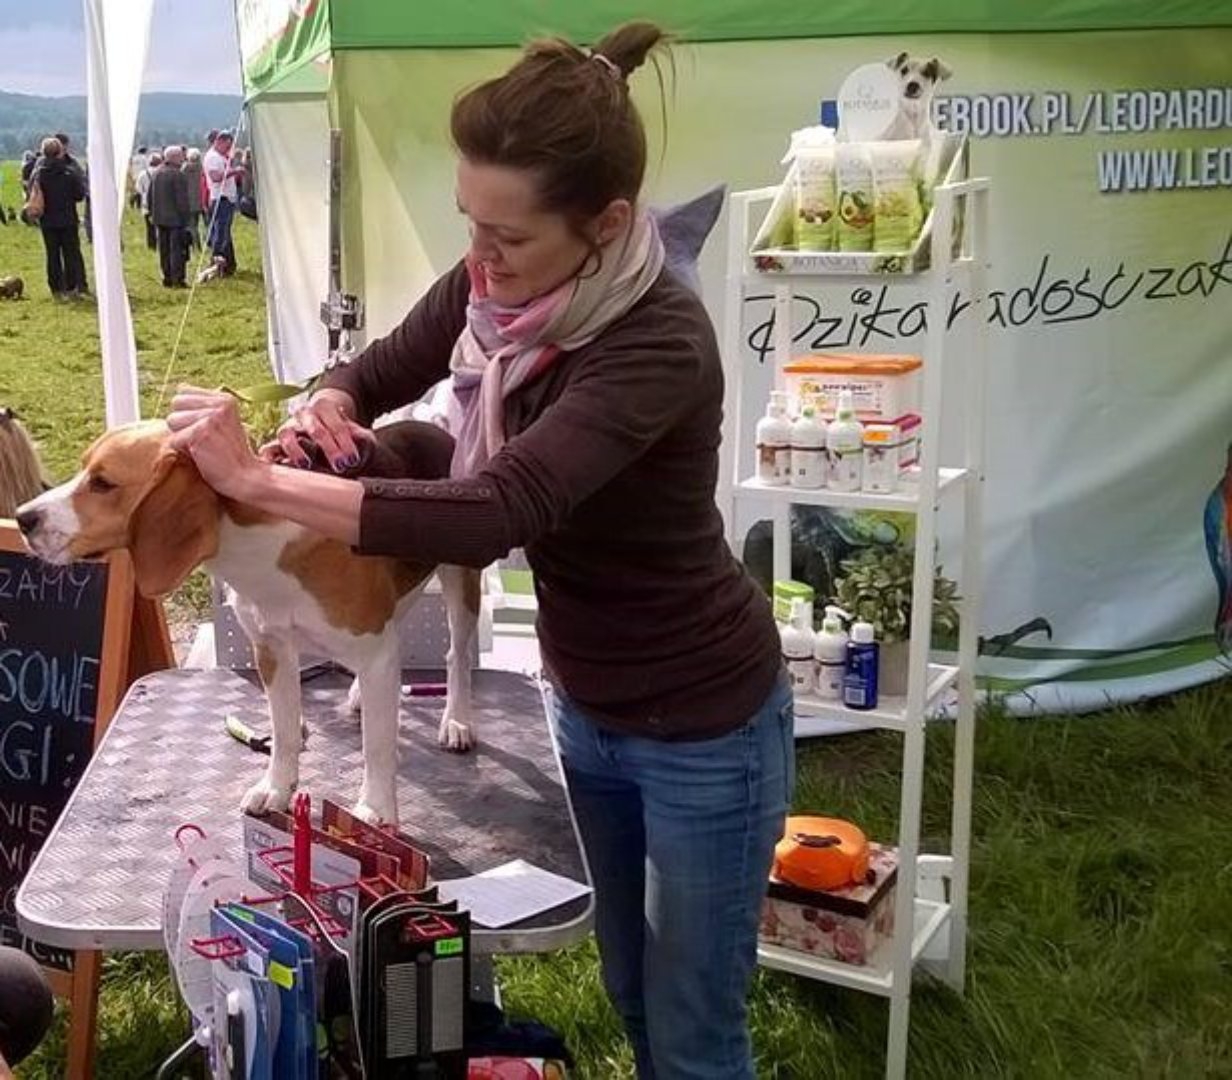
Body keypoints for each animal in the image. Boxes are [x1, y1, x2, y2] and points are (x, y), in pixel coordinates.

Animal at [15, 420, 480, 827]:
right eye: (82, 468)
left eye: (103, 483)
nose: (21, 517)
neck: (254, 547)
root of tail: (435, 427)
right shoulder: (271, 649)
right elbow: (285, 730)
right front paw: (277, 787)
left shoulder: (372, 648)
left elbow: (378, 746)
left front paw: (376, 809)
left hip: (461, 580)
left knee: (456, 654)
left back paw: (456, 720)